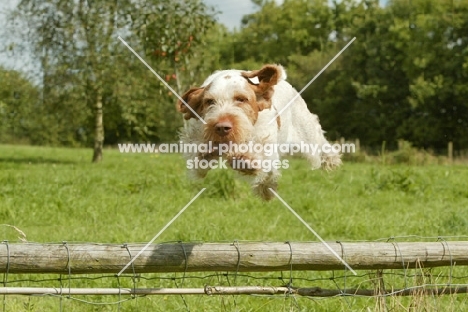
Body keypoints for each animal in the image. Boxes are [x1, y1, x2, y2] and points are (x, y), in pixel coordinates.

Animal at [176, 64, 340, 200]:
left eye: (241, 99)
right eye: (210, 101)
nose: (222, 127)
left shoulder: (266, 144)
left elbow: (259, 158)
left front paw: (243, 159)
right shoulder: (194, 138)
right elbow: (199, 158)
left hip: (307, 134)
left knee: (319, 142)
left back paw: (331, 160)